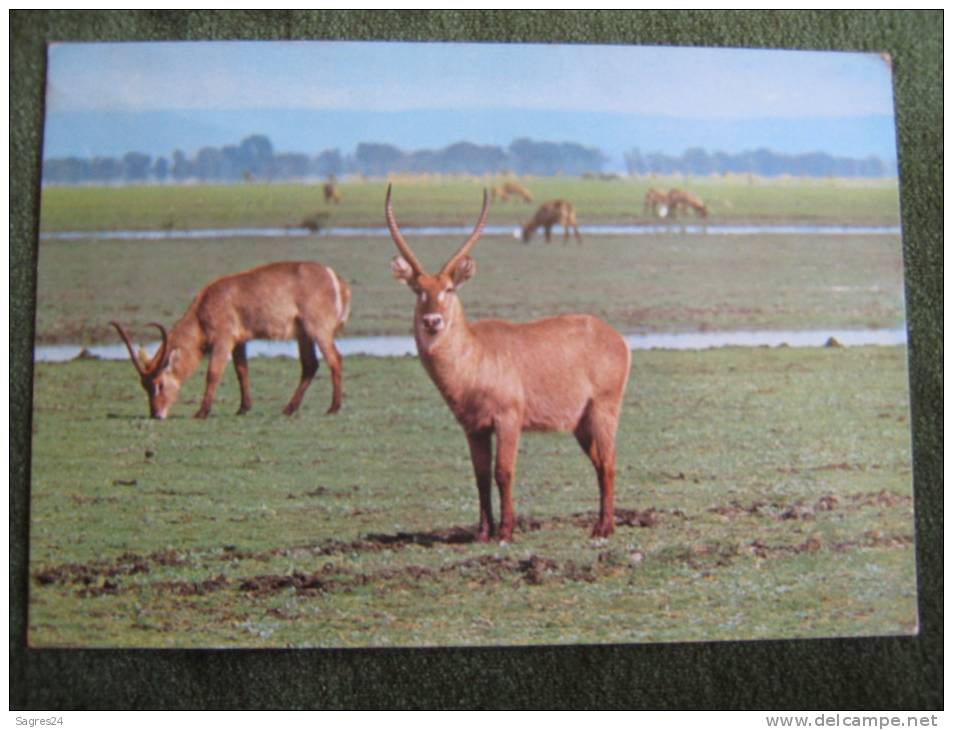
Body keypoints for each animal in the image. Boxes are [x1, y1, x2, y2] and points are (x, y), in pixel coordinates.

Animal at [111, 258, 350, 418]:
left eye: (159, 384)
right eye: (144, 386)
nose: (156, 414)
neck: (203, 308)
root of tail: (335, 278)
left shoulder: (223, 340)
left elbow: (213, 373)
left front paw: (202, 412)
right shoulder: (239, 342)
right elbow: (241, 371)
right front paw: (243, 408)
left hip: (318, 330)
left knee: (334, 359)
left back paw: (333, 407)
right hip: (303, 334)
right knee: (310, 365)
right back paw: (289, 409)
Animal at [386, 186, 632, 540]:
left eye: (449, 288)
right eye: (418, 290)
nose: (433, 321)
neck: (474, 357)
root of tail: (614, 336)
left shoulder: (508, 420)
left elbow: (503, 472)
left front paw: (505, 531)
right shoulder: (474, 428)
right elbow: (480, 477)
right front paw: (482, 533)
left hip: (603, 410)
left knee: (609, 462)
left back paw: (605, 528)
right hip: (581, 423)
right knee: (600, 463)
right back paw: (600, 524)